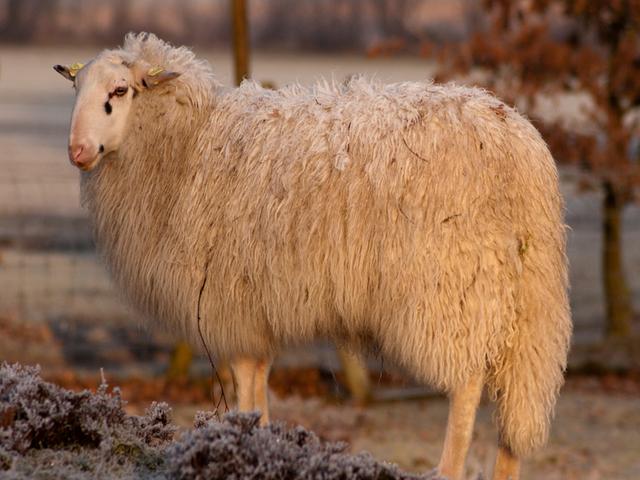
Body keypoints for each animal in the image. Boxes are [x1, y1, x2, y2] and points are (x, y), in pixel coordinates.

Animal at [54, 33, 571, 480]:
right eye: (76, 88)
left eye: (120, 90)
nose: (77, 150)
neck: (187, 142)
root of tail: (522, 152)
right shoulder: (256, 304)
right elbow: (260, 383)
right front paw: (261, 444)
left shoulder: (229, 302)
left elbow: (245, 385)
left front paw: (245, 445)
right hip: (525, 301)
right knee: (515, 405)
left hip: (454, 288)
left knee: (467, 385)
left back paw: (447, 468)